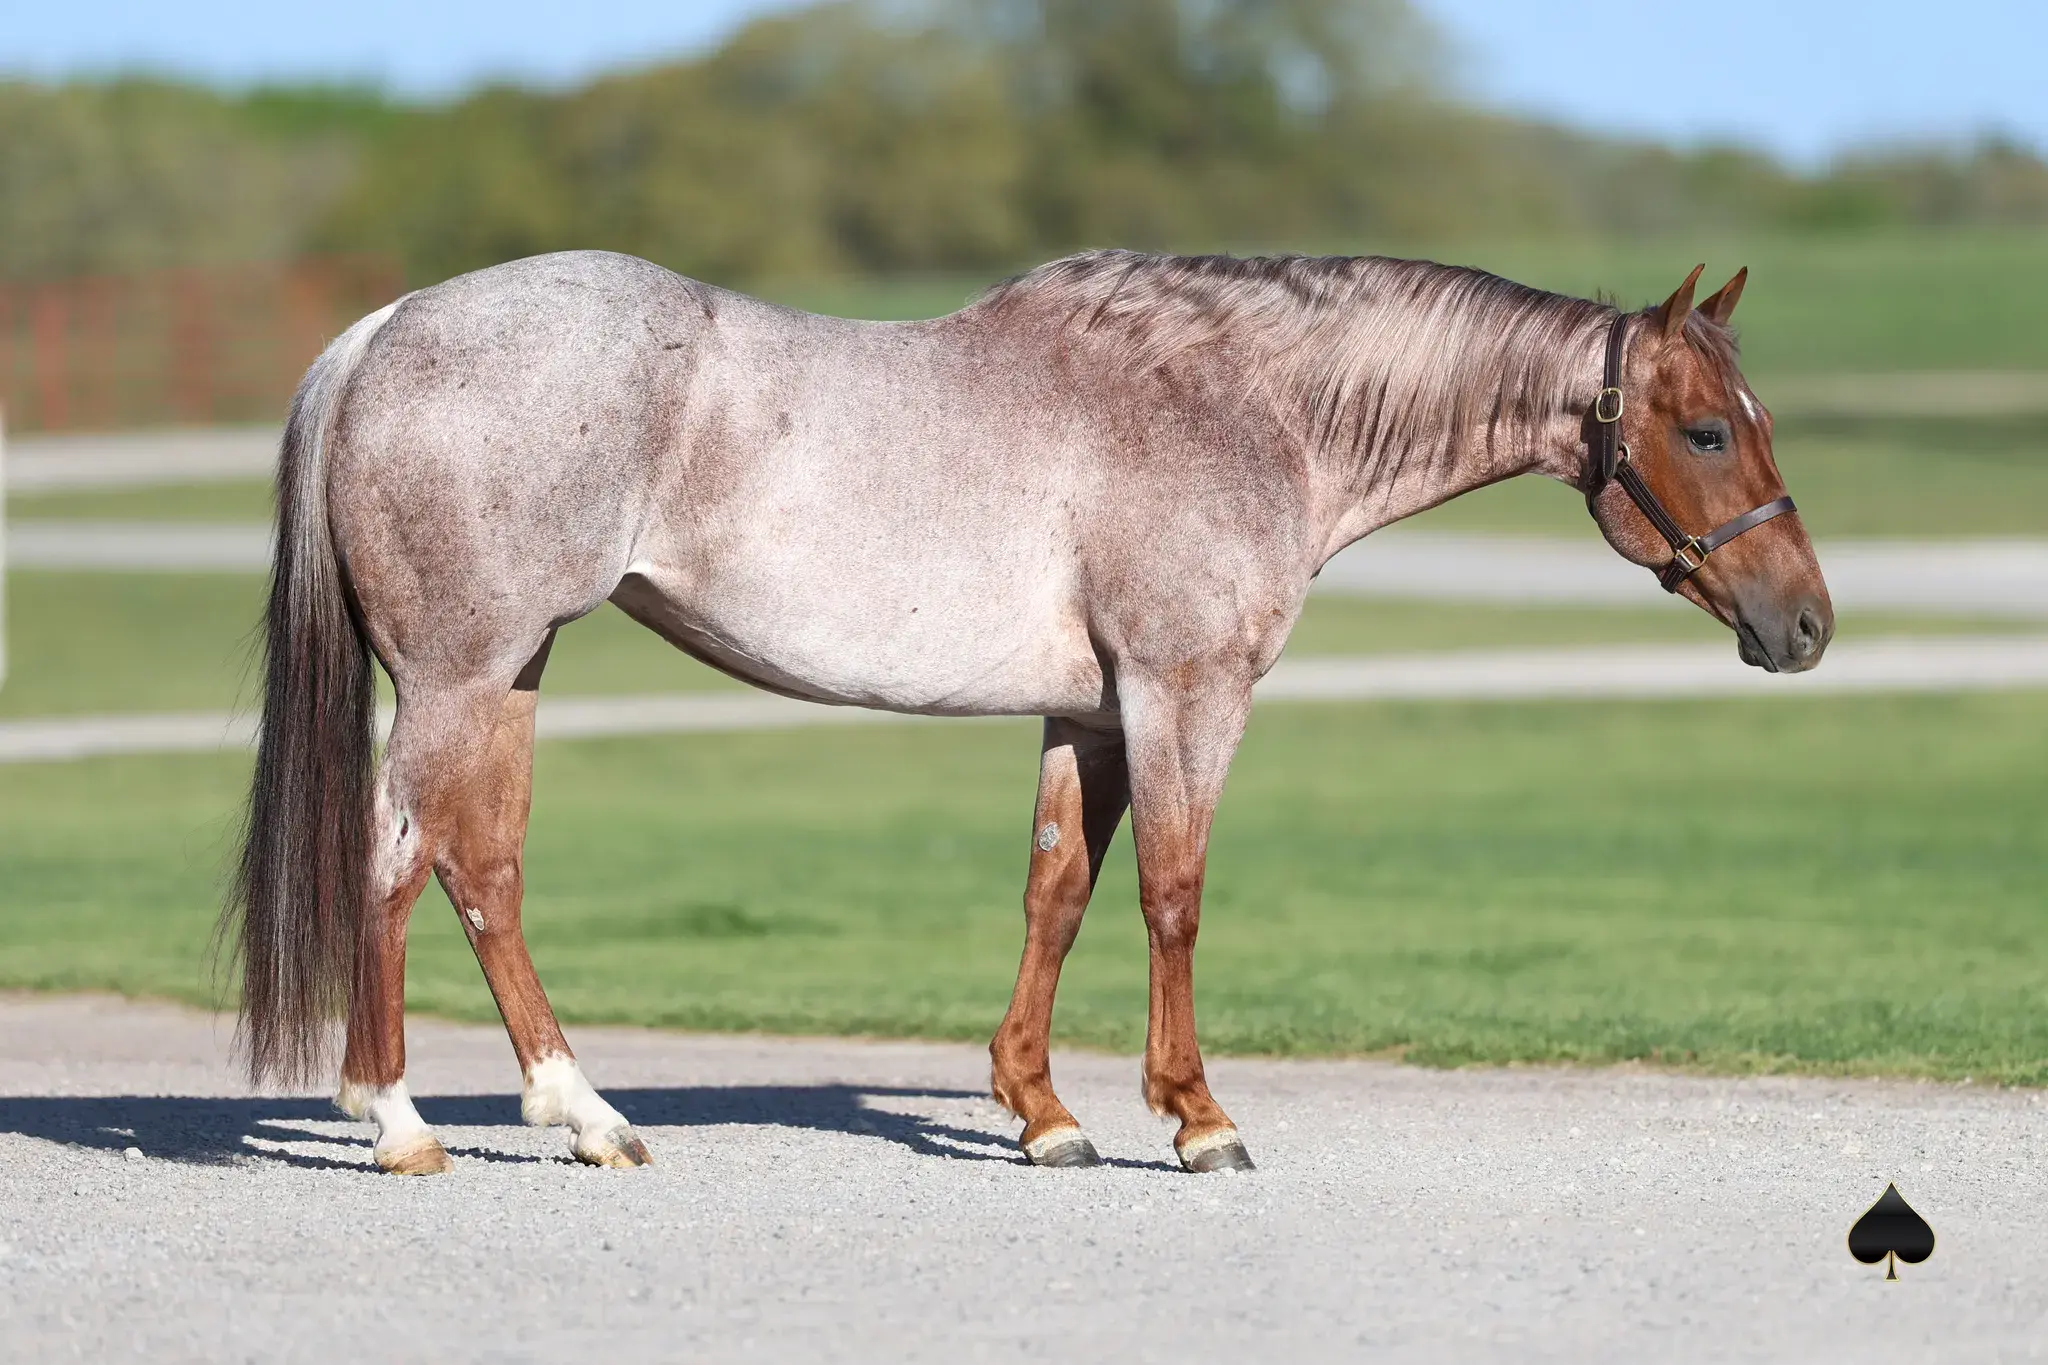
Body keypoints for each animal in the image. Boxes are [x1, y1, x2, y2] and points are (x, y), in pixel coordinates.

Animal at [226, 249, 1832, 1175]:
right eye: (1705, 430)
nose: (1807, 624)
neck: (1238, 403)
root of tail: (383, 331)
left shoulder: (1095, 717)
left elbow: (1057, 894)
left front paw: (1044, 1113)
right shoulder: (1186, 696)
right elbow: (1174, 896)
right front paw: (1197, 1117)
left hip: (503, 675)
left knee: (460, 868)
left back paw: (520, 1115)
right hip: (464, 673)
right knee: (421, 865)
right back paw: (441, 1121)